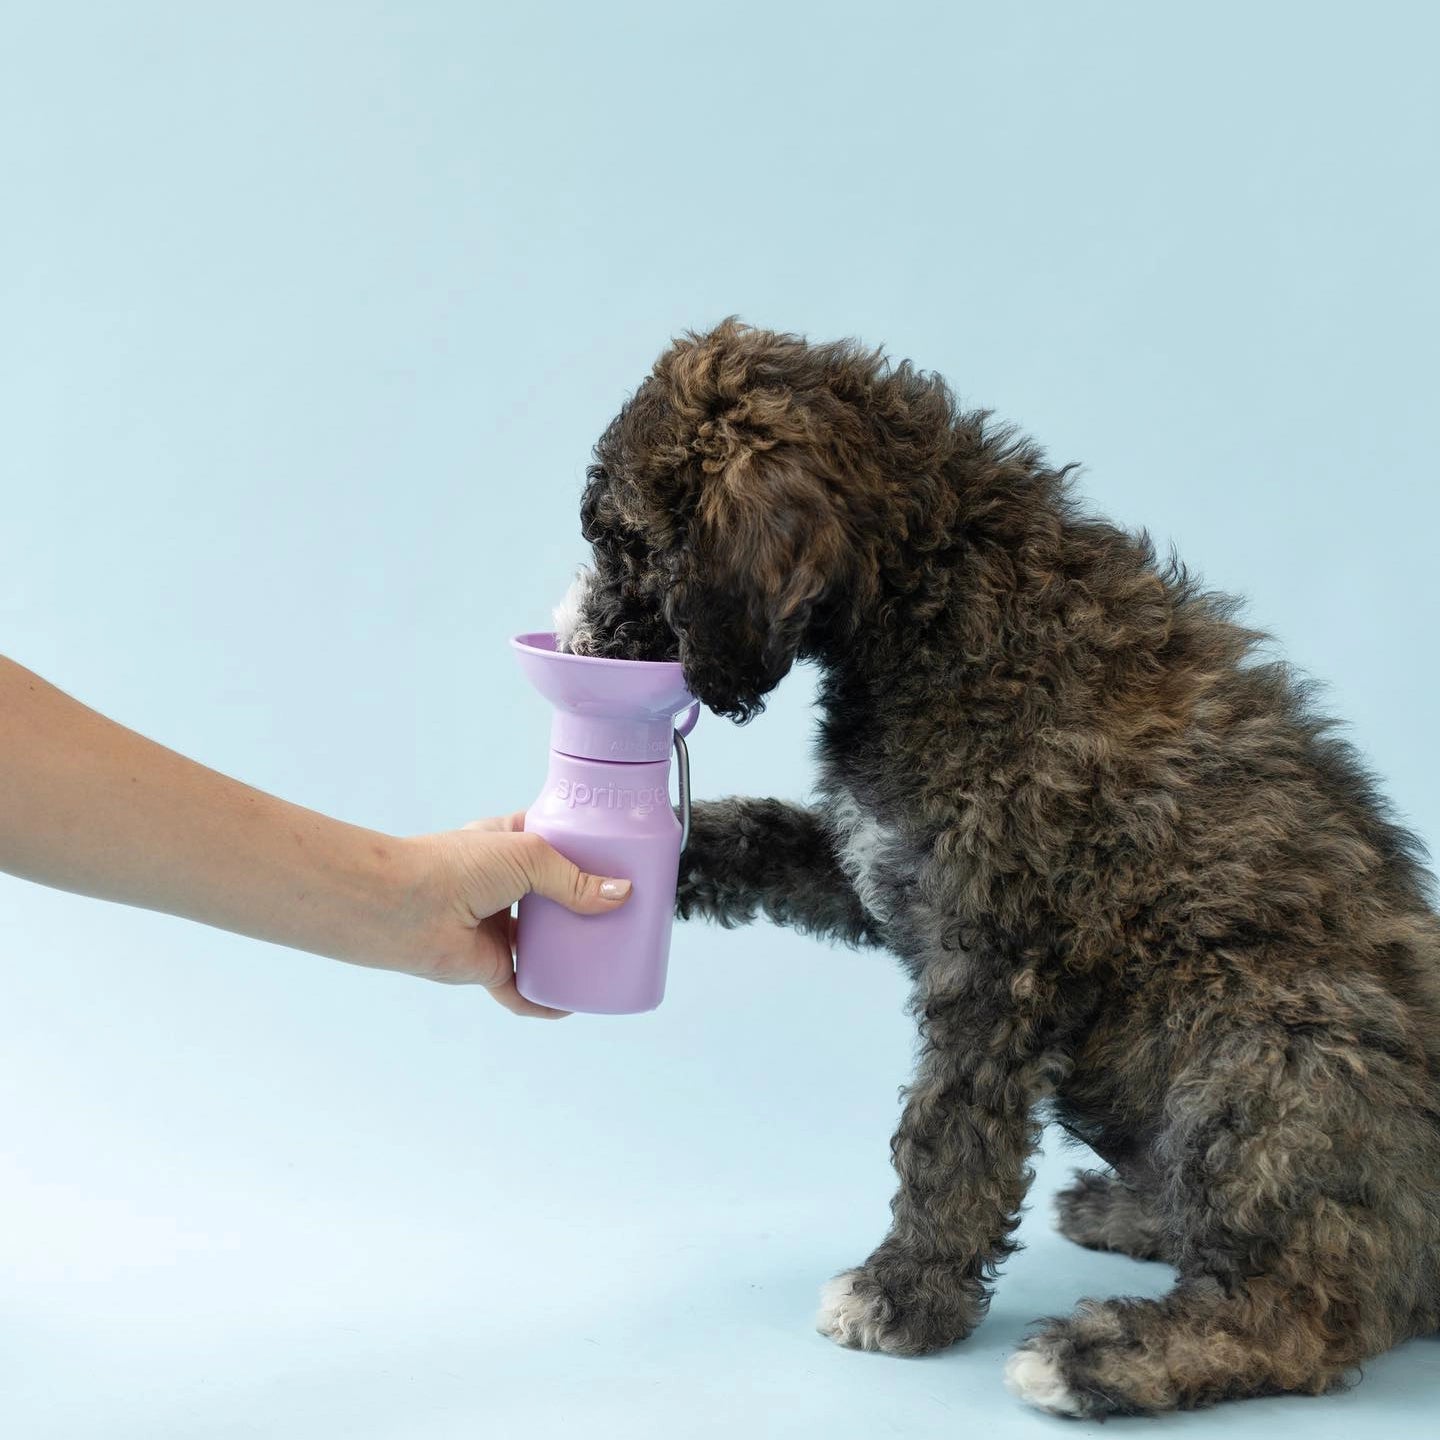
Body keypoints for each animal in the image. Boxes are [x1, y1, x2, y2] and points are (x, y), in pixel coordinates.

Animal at [550, 318, 1440, 1416]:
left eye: (623, 541)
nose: (572, 636)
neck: (942, 594)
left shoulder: (995, 960)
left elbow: (948, 1140)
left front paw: (902, 1294)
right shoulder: (879, 870)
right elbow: (757, 833)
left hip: (1267, 1044)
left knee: (1314, 1311)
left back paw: (1102, 1356)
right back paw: (1133, 1215)